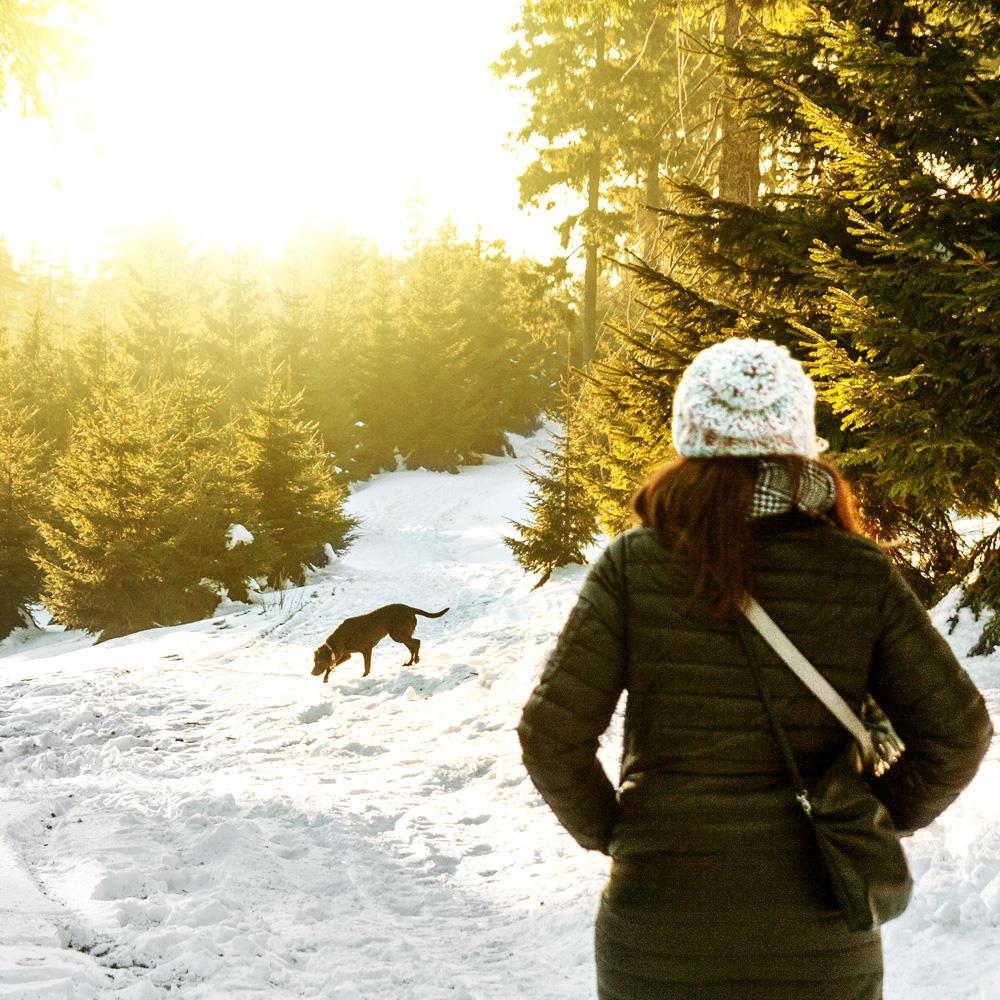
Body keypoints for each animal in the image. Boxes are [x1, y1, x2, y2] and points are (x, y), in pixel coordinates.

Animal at [312, 600, 450, 680]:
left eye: (318, 662)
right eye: (315, 661)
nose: (312, 673)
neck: (341, 636)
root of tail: (410, 608)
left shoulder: (366, 650)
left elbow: (367, 667)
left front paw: (364, 677)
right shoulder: (346, 655)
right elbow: (331, 666)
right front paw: (326, 678)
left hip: (398, 635)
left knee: (417, 642)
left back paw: (415, 660)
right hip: (401, 635)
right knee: (413, 646)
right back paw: (410, 662)